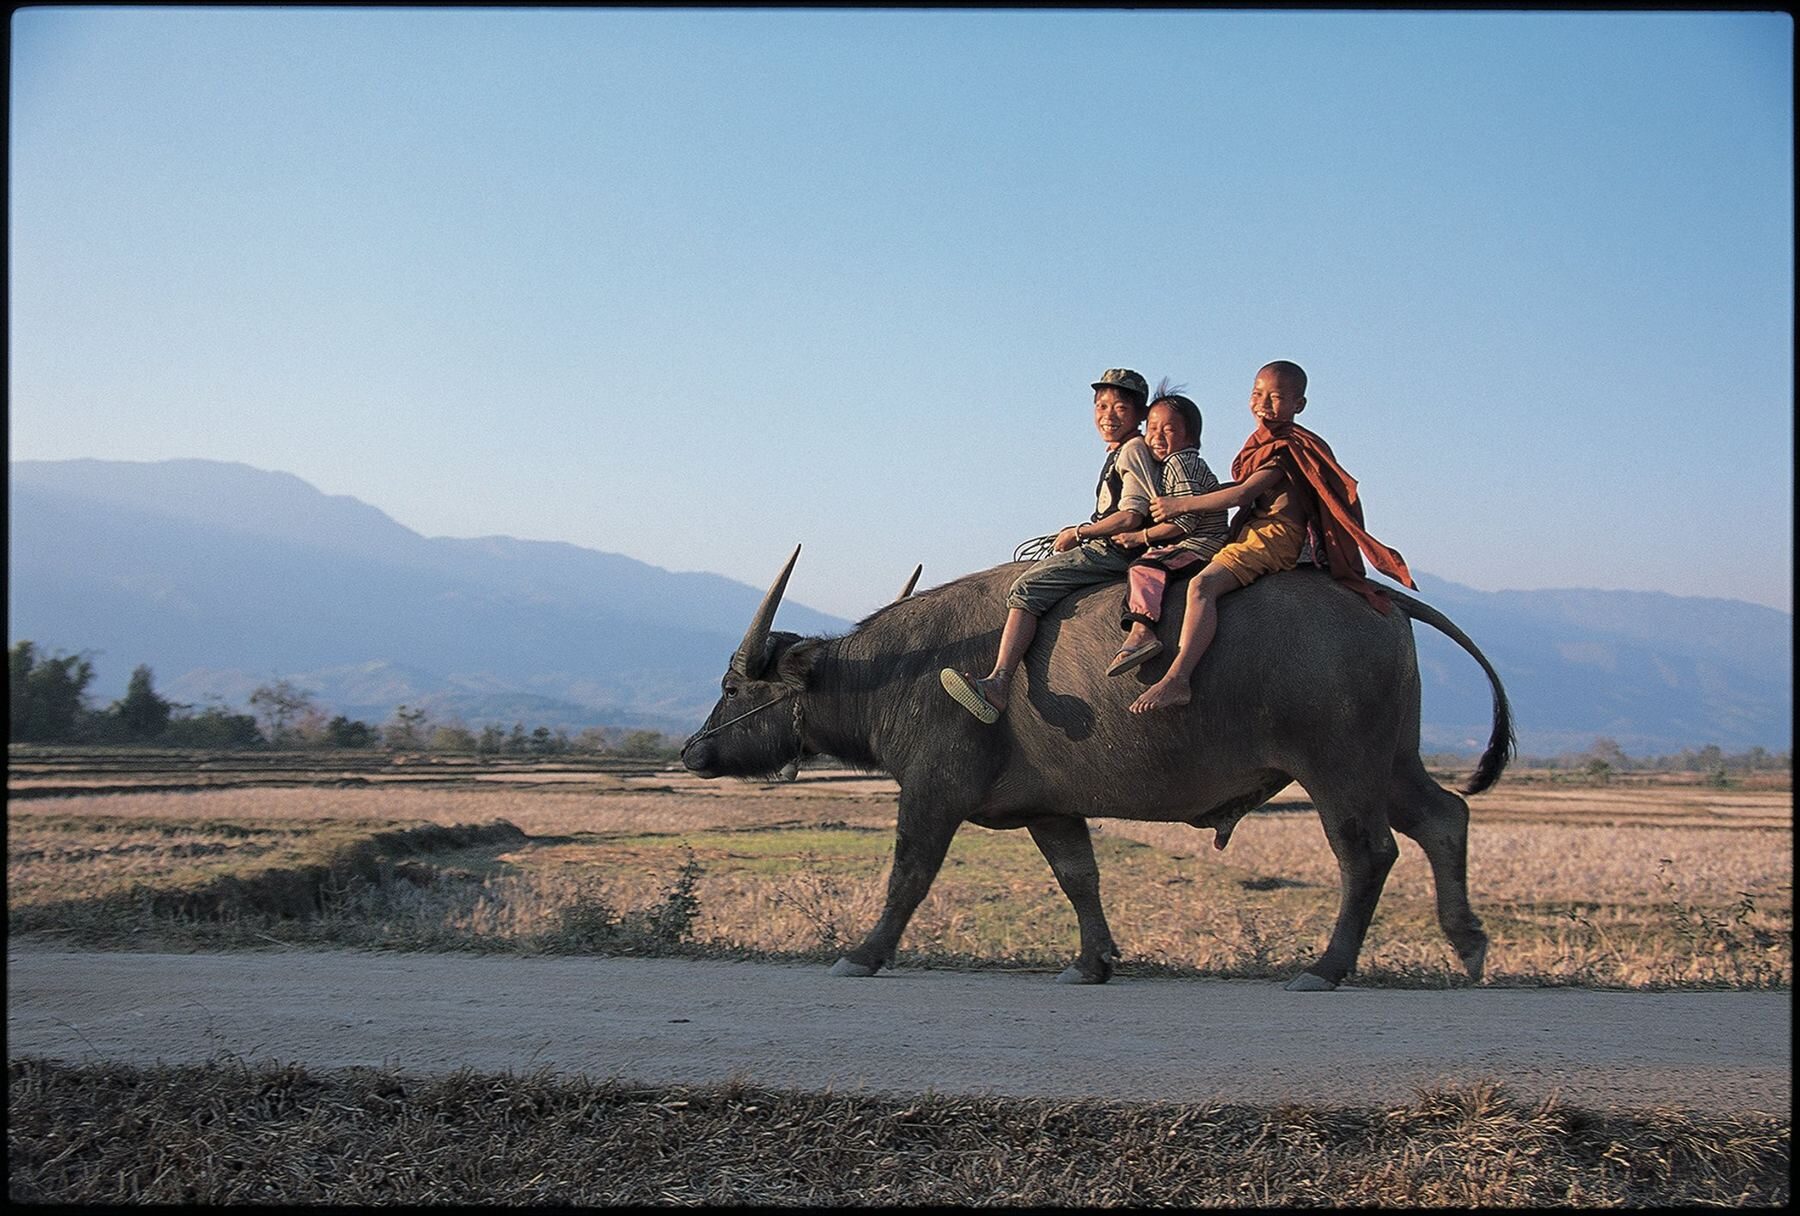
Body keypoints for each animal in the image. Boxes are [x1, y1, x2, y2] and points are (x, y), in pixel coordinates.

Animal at [682, 546, 1512, 991]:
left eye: (733, 687)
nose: (691, 751)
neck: (897, 672)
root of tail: (1378, 596)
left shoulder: (931, 793)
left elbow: (908, 875)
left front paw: (863, 954)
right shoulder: (1053, 811)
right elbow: (1080, 878)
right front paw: (1093, 961)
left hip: (1339, 768)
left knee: (1365, 853)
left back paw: (1327, 966)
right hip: (1390, 762)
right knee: (1445, 816)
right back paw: (1468, 944)